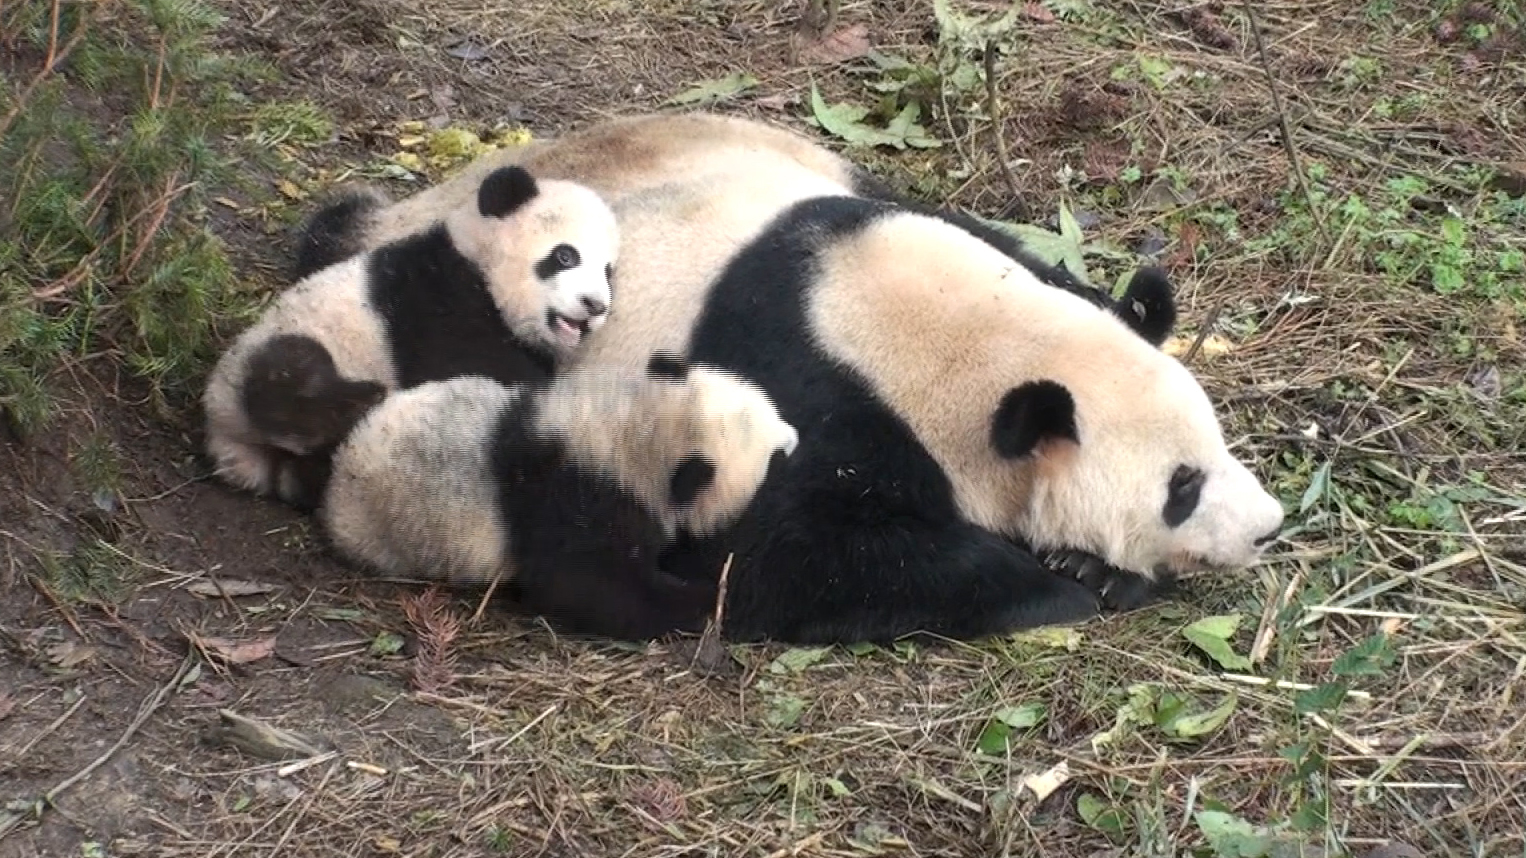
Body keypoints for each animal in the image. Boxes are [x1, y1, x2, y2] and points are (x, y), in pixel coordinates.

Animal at [202, 163, 619, 503]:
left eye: (608, 271)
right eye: (566, 256)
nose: (595, 306)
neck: (479, 260)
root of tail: (228, 435)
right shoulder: (440, 303)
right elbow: (478, 367)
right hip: (274, 350)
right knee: (288, 373)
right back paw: (355, 400)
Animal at [317, 351, 805, 638]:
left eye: (772, 411)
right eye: (774, 456)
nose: (796, 438)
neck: (630, 430)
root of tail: (337, 477)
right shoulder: (579, 501)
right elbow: (592, 589)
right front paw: (708, 599)